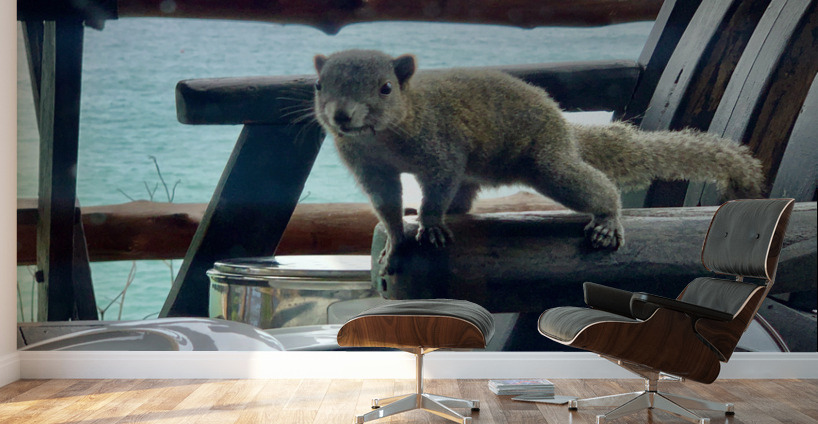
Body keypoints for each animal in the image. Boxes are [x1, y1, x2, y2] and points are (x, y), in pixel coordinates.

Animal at [312, 49, 764, 275]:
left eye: (386, 88)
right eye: (318, 85)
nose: (341, 116)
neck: (382, 136)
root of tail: (563, 128)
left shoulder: (440, 147)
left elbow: (437, 184)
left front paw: (431, 222)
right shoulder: (368, 166)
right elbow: (385, 202)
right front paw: (395, 238)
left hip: (548, 165)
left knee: (592, 185)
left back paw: (608, 218)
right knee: (465, 194)